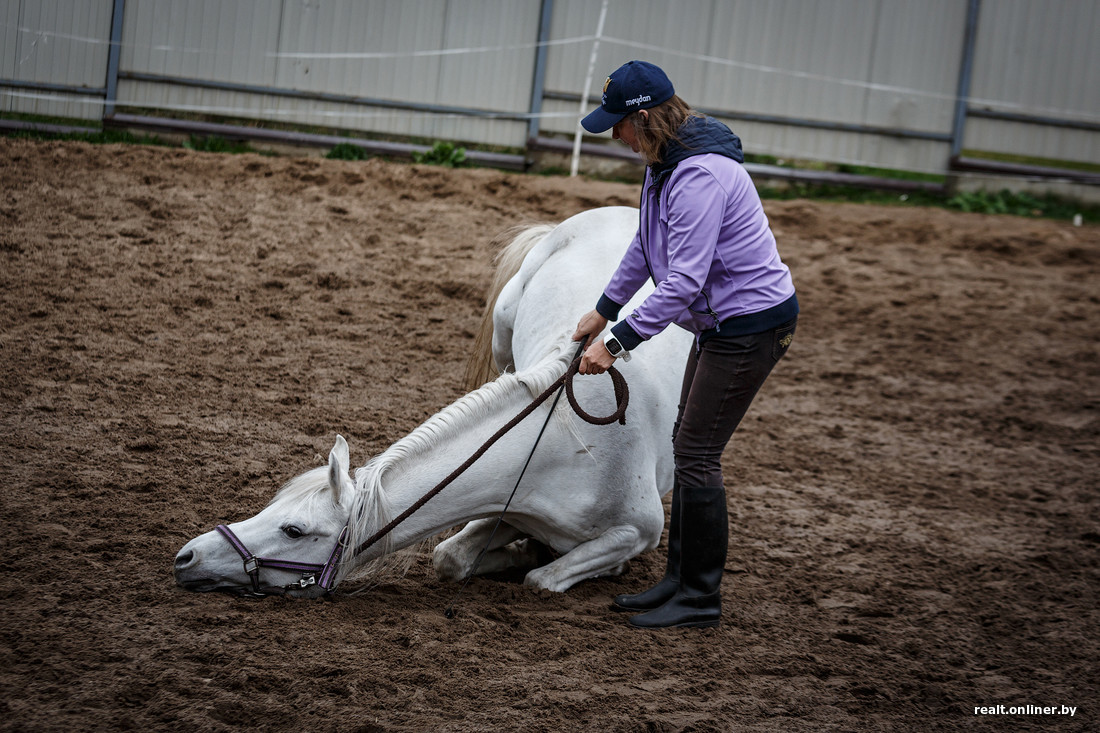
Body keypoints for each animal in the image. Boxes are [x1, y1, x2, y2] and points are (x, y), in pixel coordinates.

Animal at [171, 203, 686, 594]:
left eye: (293, 529)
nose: (187, 556)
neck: (569, 446)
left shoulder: (638, 532)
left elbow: (542, 579)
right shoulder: (508, 507)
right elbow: (450, 558)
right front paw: (520, 550)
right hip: (502, 338)